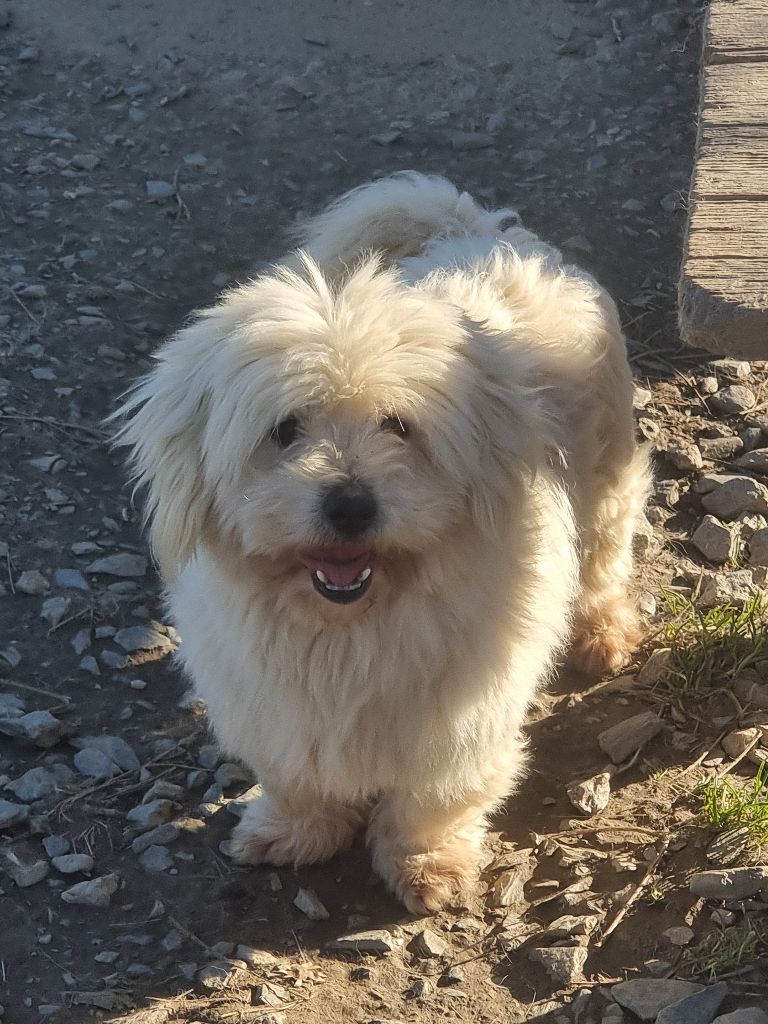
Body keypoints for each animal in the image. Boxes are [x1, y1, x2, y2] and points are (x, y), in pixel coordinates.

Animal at [115, 172, 649, 914]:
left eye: (399, 426)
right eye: (285, 430)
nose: (350, 504)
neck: (347, 629)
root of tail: (484, 231)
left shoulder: (459, 723)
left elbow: (434, 799)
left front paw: (426, 864)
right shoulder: (271, 705)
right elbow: (295, 779)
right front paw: (294, 831)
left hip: (605, 480)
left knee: (604, 556)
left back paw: (603, 632)